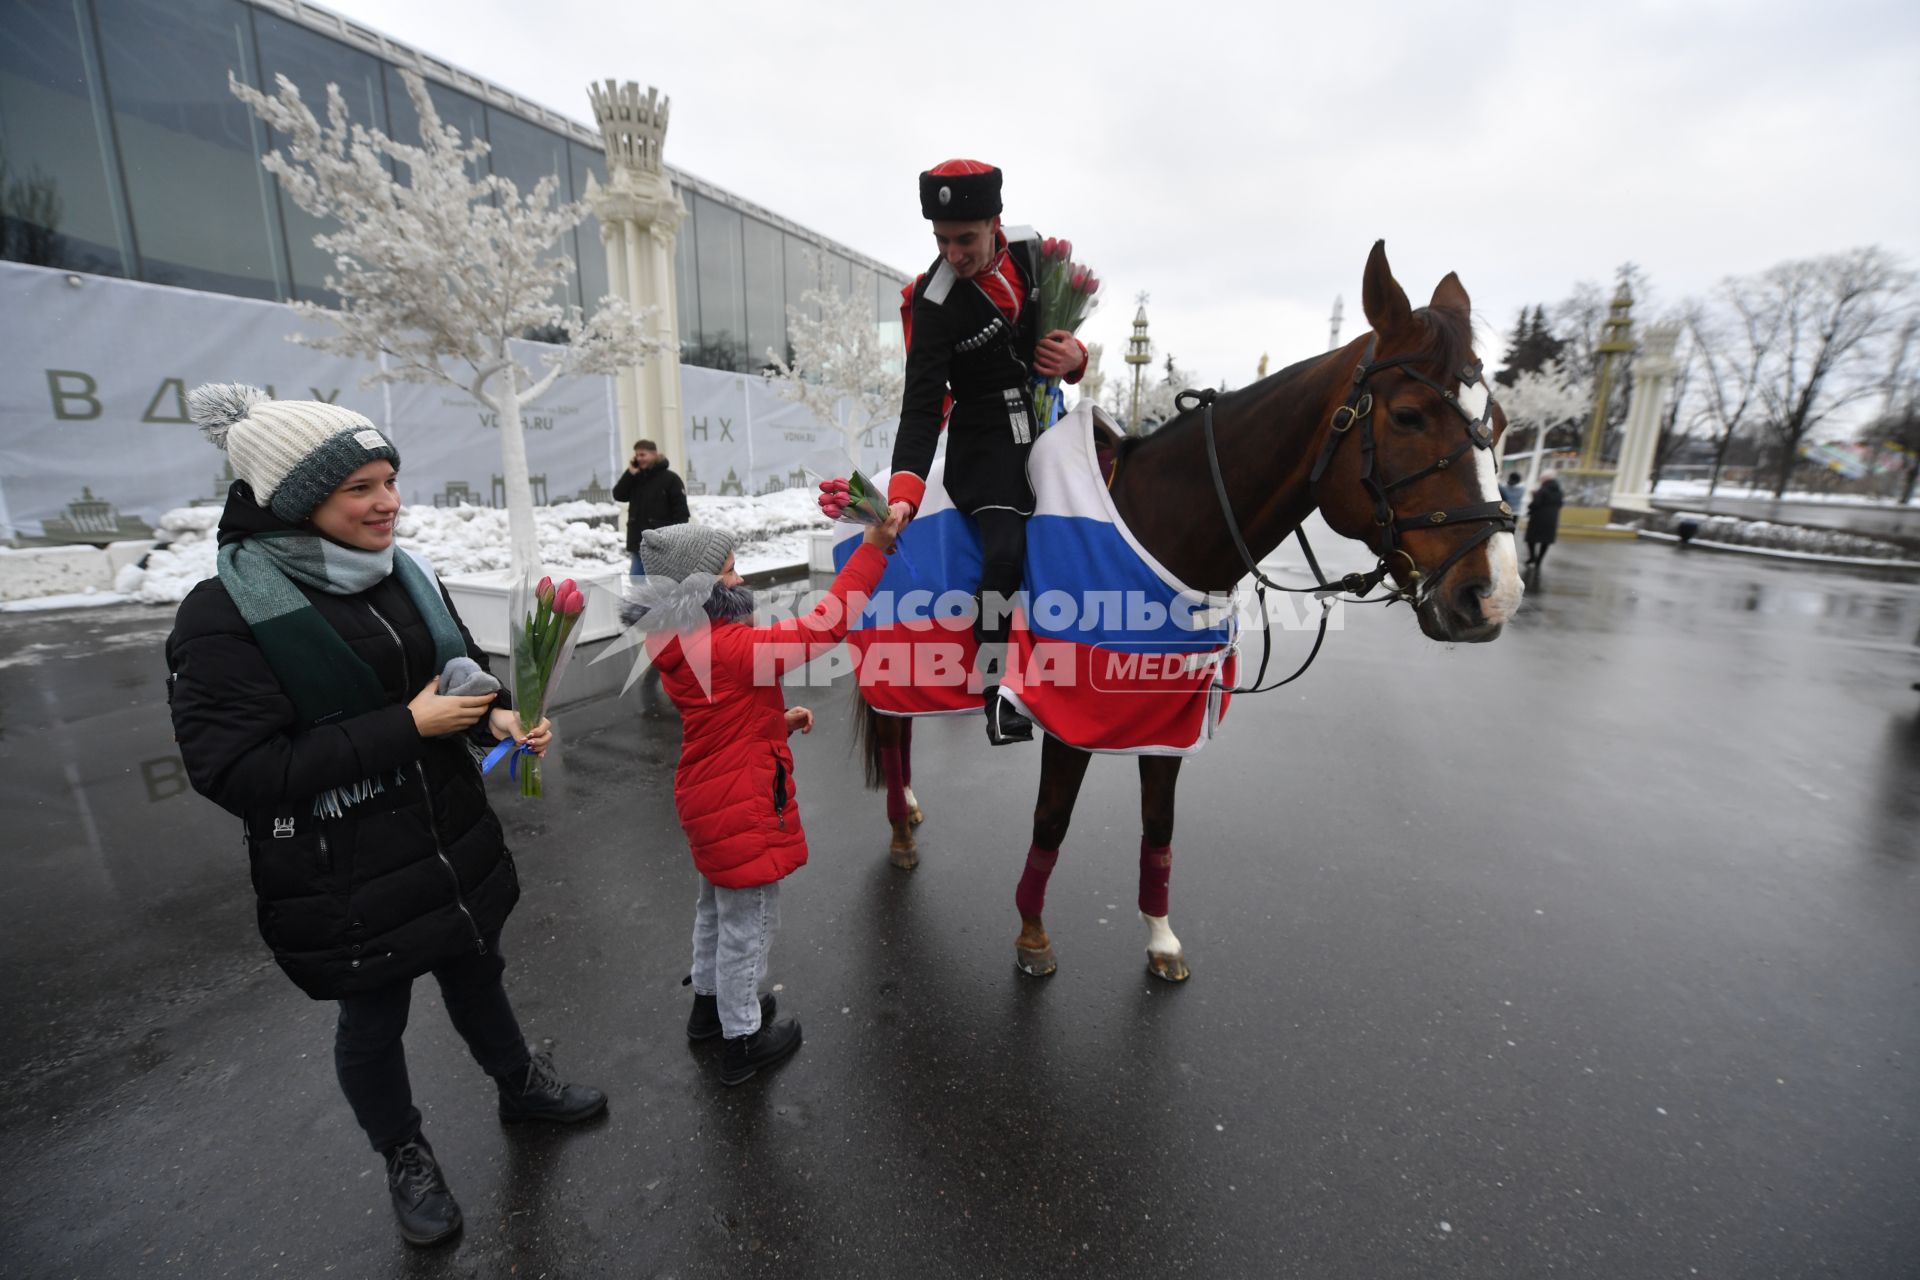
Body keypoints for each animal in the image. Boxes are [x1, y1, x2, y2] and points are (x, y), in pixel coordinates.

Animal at [852, 239, 1512, 982]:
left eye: (1499, 422)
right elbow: (1052, 821)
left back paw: (908, 811)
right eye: (1407, 415)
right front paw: (1032, 934)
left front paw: (1160, 936)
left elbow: (1159, 826)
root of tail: (882, 502)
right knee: (892, 737)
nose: (1493, 594)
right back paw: (901, 831)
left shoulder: (1166, 711)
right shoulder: (1069, 720)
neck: (1161, 528)